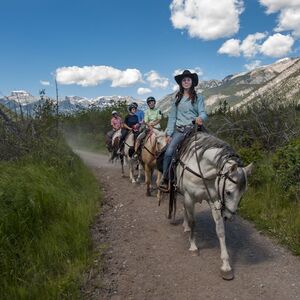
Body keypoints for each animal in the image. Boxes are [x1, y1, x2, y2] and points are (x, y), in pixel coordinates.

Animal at [169, 132, 253, 280]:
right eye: (228, 192)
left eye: (243, 194)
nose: (229, 217)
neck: (202, 170)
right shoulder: (189, 197)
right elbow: (193, 222)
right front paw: (193, 247)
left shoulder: (214, 200)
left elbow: (220, 230)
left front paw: (226, 265)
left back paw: (185, 226)